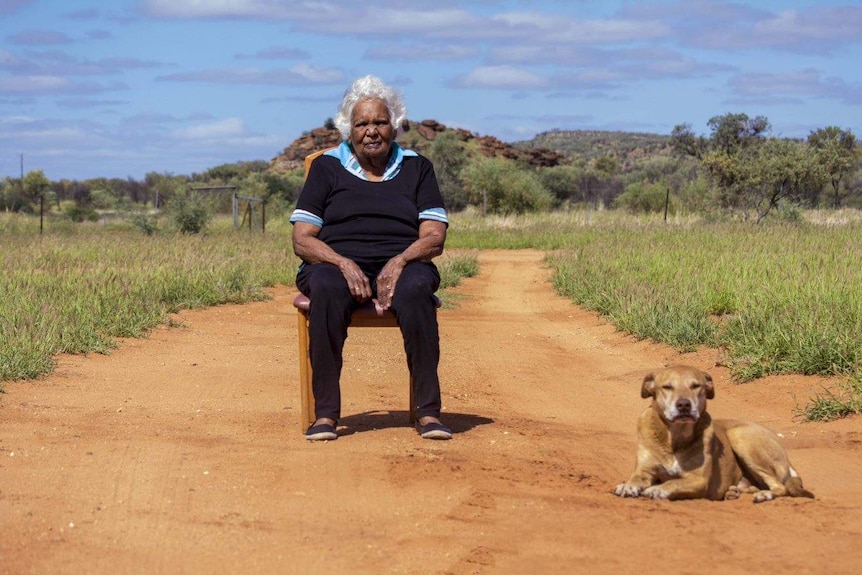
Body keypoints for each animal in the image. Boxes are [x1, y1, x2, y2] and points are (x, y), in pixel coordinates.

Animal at [616, 366, 812, 502]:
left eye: (696, 386)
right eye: (667, 387)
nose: (684, 405)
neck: (675, 437)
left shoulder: (698, 479)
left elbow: (673, 482)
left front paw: (657, 489)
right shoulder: (644, 469)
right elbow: (636, 478)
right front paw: (628, 486)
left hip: (740, 436)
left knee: (780, 486)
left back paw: (764, 494)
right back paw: (734, 491)